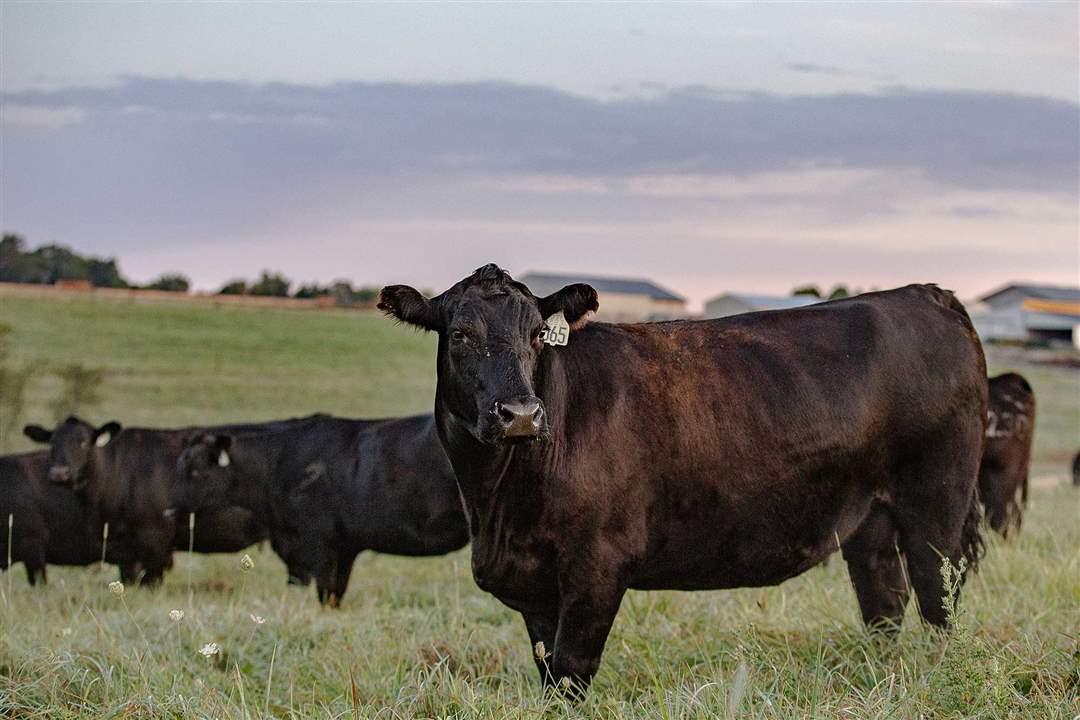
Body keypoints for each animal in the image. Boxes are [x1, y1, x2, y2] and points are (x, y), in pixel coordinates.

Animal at [177, 414, 468, 604]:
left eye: (196, 470)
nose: (171, 509)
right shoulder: (342, 548)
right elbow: (335, 593)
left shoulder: (315, 544)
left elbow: (323, 592)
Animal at [378, 264, 989, 699]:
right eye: (460, 334)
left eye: (537, 335)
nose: (521, 414)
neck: (498, 505)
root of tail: (925, 293)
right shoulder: (533, 586)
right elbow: (548, 668)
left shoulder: (598, 567)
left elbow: (571, 674)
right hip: (870, 521)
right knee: (883, 602)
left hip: (937, 504)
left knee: (938, 597)